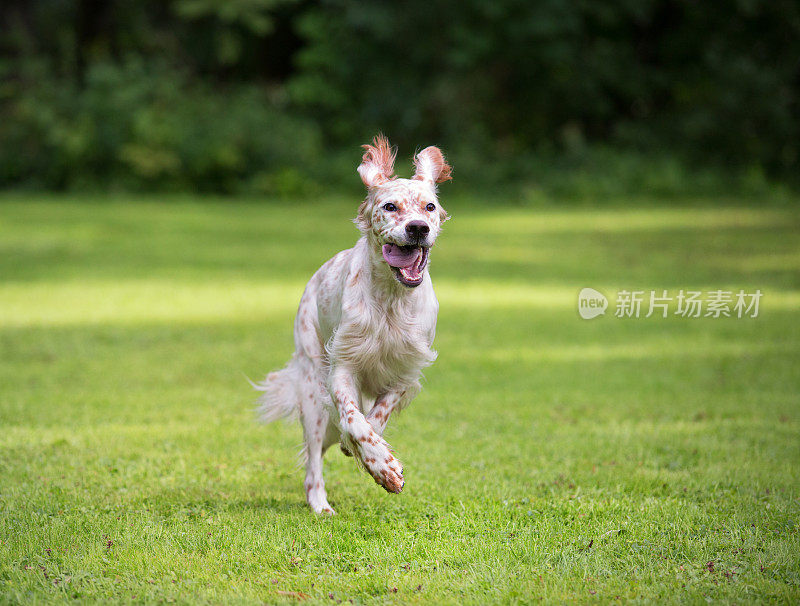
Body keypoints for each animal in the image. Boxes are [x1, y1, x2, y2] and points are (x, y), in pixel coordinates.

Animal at [256, 135, 454, 516]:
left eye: (429, 207)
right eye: (390, 206)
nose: (418, 228)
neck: (391, 298)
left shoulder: (404, 372)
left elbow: (375, 417)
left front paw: (374, 458)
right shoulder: (342, 368)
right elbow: (352, 418)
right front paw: (383, 466)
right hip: (311, 386)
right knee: (314, 461)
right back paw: (320, 504)